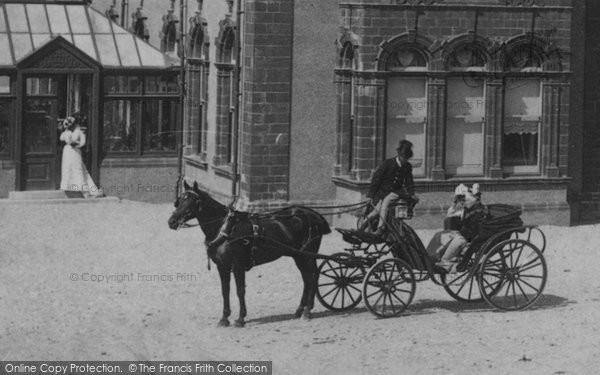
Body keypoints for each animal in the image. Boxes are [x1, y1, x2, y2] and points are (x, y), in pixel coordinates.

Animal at [166, 181, 330, 326]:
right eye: (179, 200)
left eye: (192, 201)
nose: (171, 222)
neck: (225, 228)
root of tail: (313, 214)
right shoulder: (222, 266)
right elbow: (225, 291)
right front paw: (224, 318)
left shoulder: (237, 265)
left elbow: (239, 291)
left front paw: (240, 319)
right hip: (298, 256)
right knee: (307, 278)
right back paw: (300, 310)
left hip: (307, 255)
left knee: (313, 276)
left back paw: (307, 311)